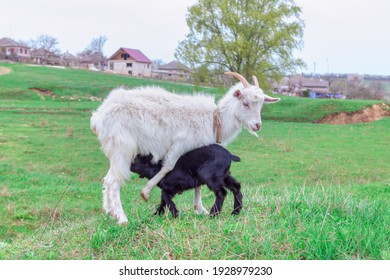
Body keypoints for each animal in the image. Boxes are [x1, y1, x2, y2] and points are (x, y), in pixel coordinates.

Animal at [91, 71, 280, 223]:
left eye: (261, 105)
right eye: (245, 103)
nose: (257, 125)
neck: (215, 120)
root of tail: (98, 117)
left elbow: (198, 182)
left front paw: (200, 208)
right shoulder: (180, 145)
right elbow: (168, 167)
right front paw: (146, 191)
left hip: (116, 150)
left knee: (108, 180)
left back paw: (110, 212)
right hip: (123, 148)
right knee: (113, 181)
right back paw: (122, 218)